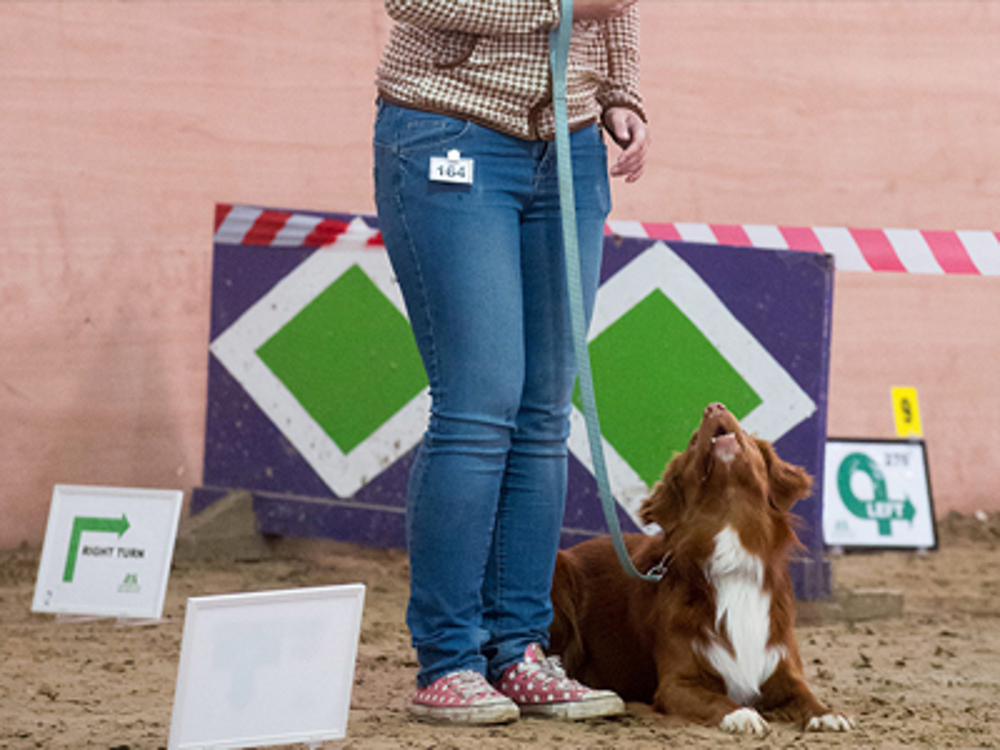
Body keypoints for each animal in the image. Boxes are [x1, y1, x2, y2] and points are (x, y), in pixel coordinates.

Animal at [552, 406, 856, 736]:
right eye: (694, 440)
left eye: (745, 433)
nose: (714, 407)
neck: (732, 549)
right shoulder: (676, 684)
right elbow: (717, 700)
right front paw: (742, 714)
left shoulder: (782, 668)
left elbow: (807, 695)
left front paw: (827, 714)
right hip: (559, 570)